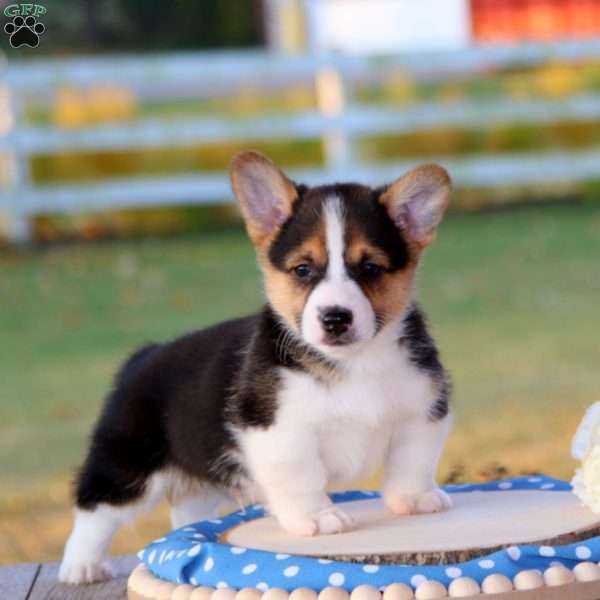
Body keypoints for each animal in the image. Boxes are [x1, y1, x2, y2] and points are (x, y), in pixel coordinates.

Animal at [59, 151, 450, 584]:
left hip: (198, 476)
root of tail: (144, 355)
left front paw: (414, 500)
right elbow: (302, 477)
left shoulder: (423, 413)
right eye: (302, 269)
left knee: (186, 509)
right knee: (95, 509)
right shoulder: (280, 432)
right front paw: (318, 518)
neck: (353, 363)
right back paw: (82, 565)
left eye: (370, 269)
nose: (335, 318)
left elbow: (411, 462)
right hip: (127, 464)